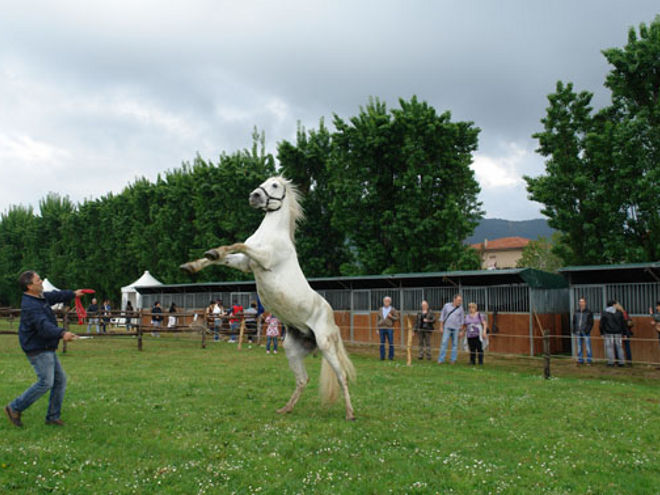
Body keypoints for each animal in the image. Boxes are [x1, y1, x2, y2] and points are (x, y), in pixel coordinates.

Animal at [180, 176, 356, 420]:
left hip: (326, 344)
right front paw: (194, 264)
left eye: (274, 185)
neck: (272, 234)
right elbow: (223, 257)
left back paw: (350, 413)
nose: (253, 197)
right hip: (292, 349)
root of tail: (332, 320)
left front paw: (213, 252)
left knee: (342, 377)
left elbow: (239, 244)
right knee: (303, 380)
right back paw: (286, 408)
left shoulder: (263, 258)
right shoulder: (246, 264)